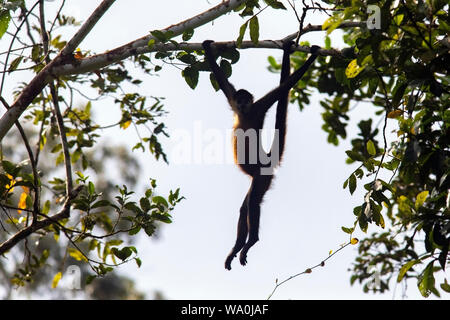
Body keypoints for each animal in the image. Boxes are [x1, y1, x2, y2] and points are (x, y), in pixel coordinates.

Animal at [202, 39, 318, 270]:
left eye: (247, 100)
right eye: (240, 100)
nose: (242, 104)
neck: (246, 113)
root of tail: (267, 160)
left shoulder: (259, 107)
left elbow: (283, 88)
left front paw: (313, 57)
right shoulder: (232, 100)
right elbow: (223, 83)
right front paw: (207, 48)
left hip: (262, 176)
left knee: (254, 202)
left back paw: (251, 241)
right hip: (259, 178)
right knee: (245, 207)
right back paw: (238, 246)